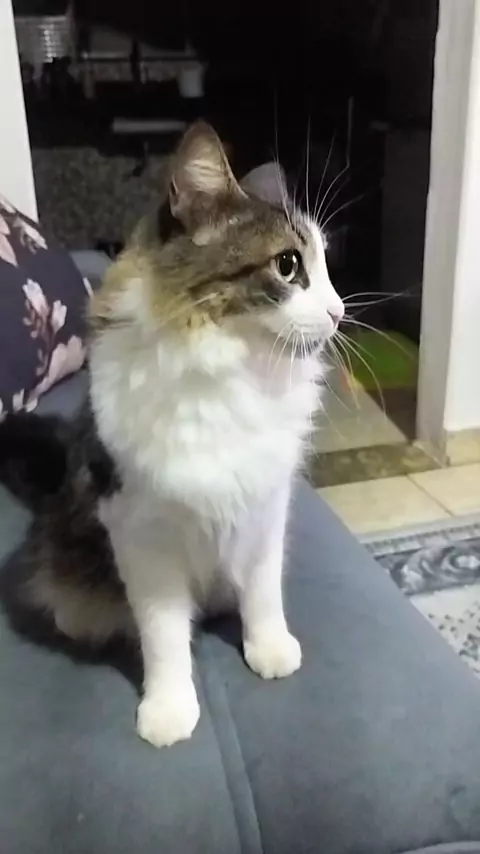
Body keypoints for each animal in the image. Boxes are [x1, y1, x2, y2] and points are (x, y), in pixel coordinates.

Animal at [0, 122, 344, 748]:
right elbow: (162, 635)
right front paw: (168, 708)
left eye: (327, 266)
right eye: (288, 265)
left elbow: (263, 592)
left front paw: (268, 649)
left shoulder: (265, 508)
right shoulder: (140, 536)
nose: (338, 312)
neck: (233, 373)